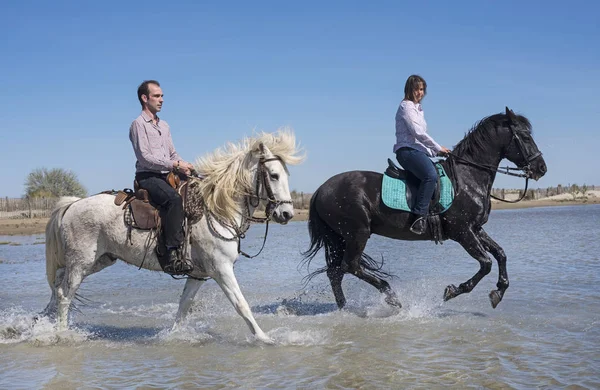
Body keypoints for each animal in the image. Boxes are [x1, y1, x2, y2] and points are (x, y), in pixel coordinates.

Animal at [41, 129, 302, 342]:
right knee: (64, 295)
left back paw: (43, 323)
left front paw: (173, 336)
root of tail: (72, 204)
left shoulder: (198, 274)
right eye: (274, 175)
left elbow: (184, 306)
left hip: (98, 261)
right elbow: (241, 305)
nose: (286, 213)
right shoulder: (221, 269)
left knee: (57, 288)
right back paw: (62, 334)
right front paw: (265, 339)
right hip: (81, 263)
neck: (216, 209)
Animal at [302, 108, 548, 310]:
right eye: (526, 137)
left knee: (335, 272)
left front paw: (499, 290)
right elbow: (486, 263)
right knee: (350, 266)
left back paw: (344, 307)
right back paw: (391, 297)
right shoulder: (462, 231)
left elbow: (501, 254)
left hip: (338, 237)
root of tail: (320, 190)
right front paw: (452, 291)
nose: (541, 168)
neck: (468, 179)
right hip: (357, 233)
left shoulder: (476, 229)